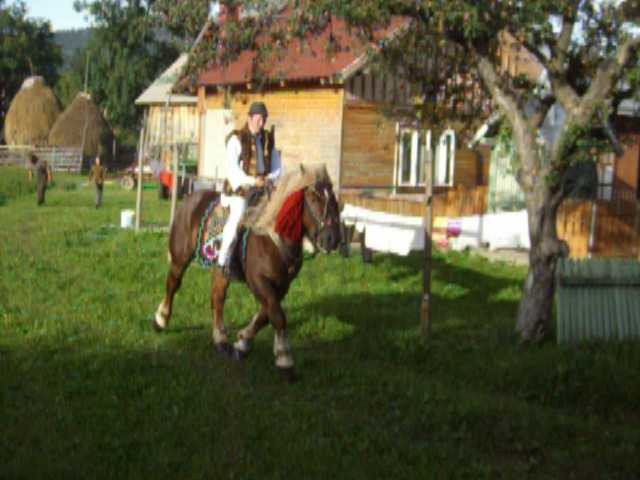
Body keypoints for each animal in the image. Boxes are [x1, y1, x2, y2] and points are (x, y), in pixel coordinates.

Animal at [151, 165, 340, 378]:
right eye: (314, 199)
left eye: (334, 198)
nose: (333, 239)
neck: (271, 235)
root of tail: (190, 199)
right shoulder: (257, 280)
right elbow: (278, 316)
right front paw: (284, 359)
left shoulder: (282, 285)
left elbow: (266, 315)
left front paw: (242, 343)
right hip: (180, 258)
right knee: (173, 284)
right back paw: (160, 320)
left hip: (221, 270)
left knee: (217, 298)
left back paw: (221, 340)